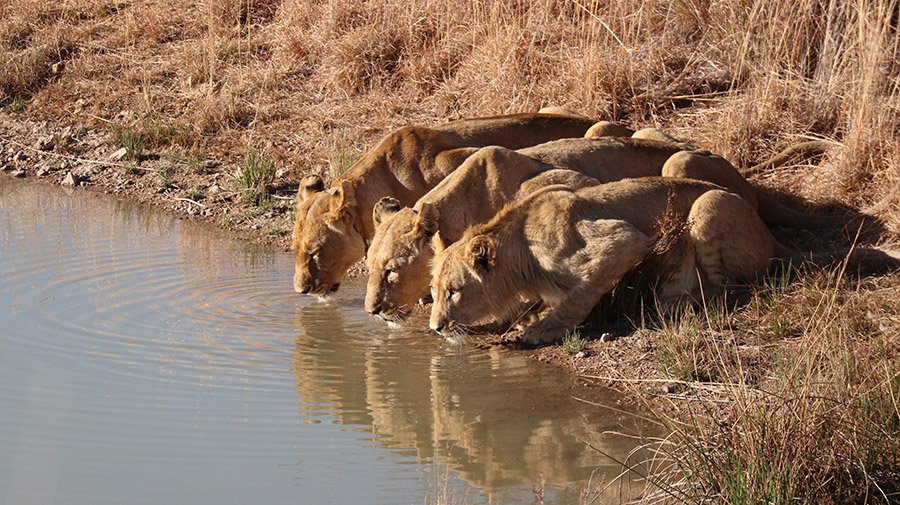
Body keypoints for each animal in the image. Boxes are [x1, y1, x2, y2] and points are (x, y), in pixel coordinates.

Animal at [428, 177, 892, 342]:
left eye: (453, 292)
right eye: (433, 292)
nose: (433, 328)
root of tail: (773, 239)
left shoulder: (623, 241)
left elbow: (577, 298)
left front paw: (536, 332)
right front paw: (523, 320)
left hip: (707, 205)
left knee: (730, 289)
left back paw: (674, 301)